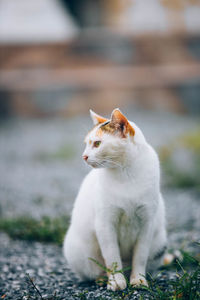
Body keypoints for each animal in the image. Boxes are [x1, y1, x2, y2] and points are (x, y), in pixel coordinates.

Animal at [63, 109, 167, 292]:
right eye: (86, 144)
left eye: (97, 144)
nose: (84, 156)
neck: (125, 173)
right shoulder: (105, 223)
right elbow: (112, 256)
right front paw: (116, 281)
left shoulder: (147, 222)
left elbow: (140, 256)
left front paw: (139, 280)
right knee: (94, 271)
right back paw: (102, 279)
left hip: (160, 243)